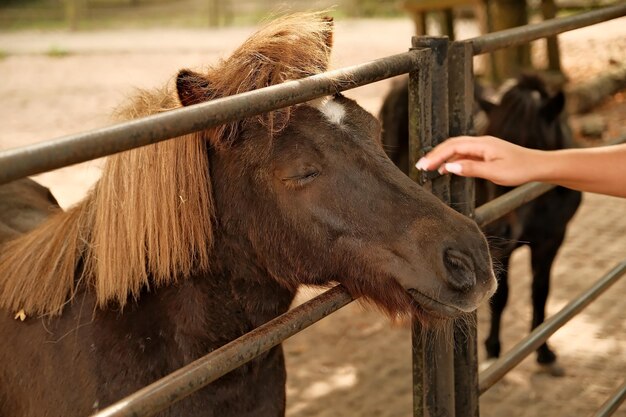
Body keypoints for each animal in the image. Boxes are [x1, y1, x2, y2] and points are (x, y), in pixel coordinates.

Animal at [378, 74, 584, 374]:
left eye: (535, 145)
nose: (499, 228)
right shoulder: (498, 251)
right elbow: (501, 296)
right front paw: (492, 349)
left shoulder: (552, 240)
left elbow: (540, 291)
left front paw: (543, 350)